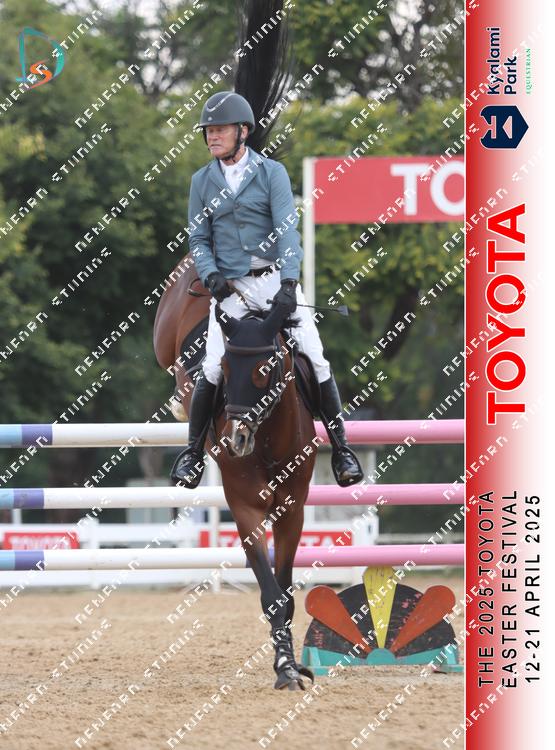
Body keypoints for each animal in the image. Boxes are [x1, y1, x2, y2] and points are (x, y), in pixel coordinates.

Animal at [154, 256, 316, 690]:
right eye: (224, 367)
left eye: (265, 368)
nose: (235, 438)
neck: (268, 441)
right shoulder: (245, 509)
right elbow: (271, 593)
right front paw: (285, 668)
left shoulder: (292, 509)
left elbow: (285, 591)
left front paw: (290, 663)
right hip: (165, 335)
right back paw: (178, 407)